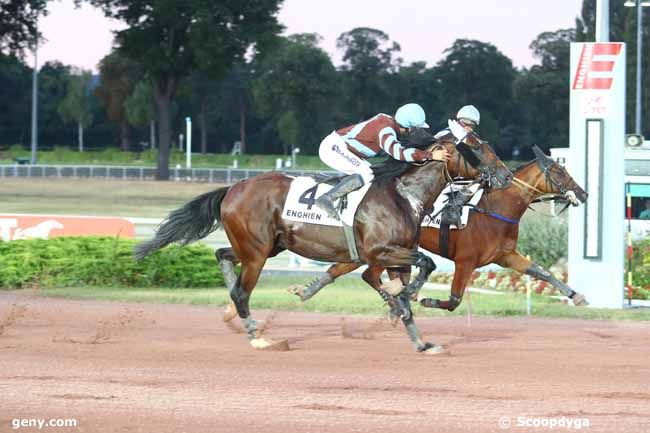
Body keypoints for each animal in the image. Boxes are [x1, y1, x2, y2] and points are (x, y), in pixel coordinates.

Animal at [135, 131, 512, 352]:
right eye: (477, 148)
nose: (506, 175)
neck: (403, 195)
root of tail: (233, 188)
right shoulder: (380, 252)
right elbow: (425, 263)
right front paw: (401, 296)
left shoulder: (393, 256)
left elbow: (407, 296)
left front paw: (420, 341)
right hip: (257, 252)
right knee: (242, 290)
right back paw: (258, 335)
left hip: (267, 246)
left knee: (222, 255)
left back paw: (233, 313)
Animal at [288, 145, 588, 318]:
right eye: (559, 172)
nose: (583, 194)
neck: (492, 210)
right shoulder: (465, 261)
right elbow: (454, 300)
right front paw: (425, 298)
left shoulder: (505, 256)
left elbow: (541, 271)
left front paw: (577, 295)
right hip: (383, 249)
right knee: (366, 274)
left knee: (345, 269)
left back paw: (308, 291)